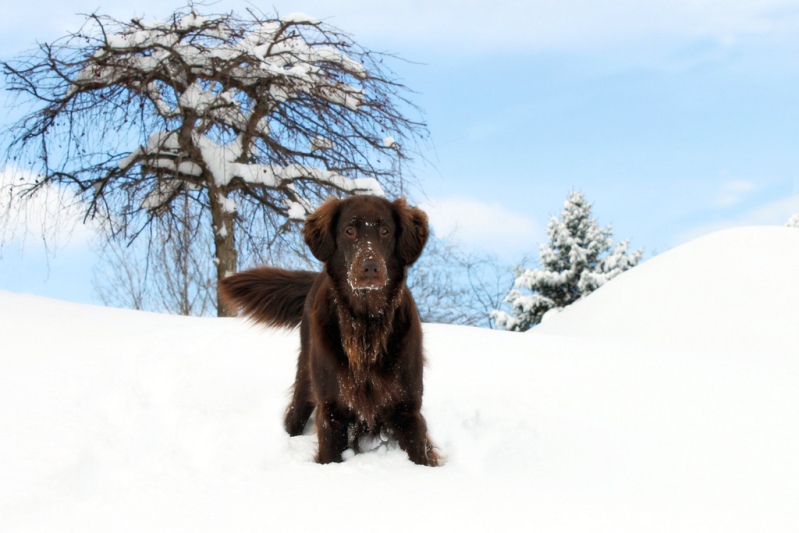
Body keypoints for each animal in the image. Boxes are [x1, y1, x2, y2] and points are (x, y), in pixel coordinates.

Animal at [220, 195, 438, 466]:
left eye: (385, 231)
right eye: (349, 231)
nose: (370, 267)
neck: (365, 325)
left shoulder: (408, 409)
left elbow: (421, 455)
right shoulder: (331, 411)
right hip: (306, 379)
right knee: (294, 414)